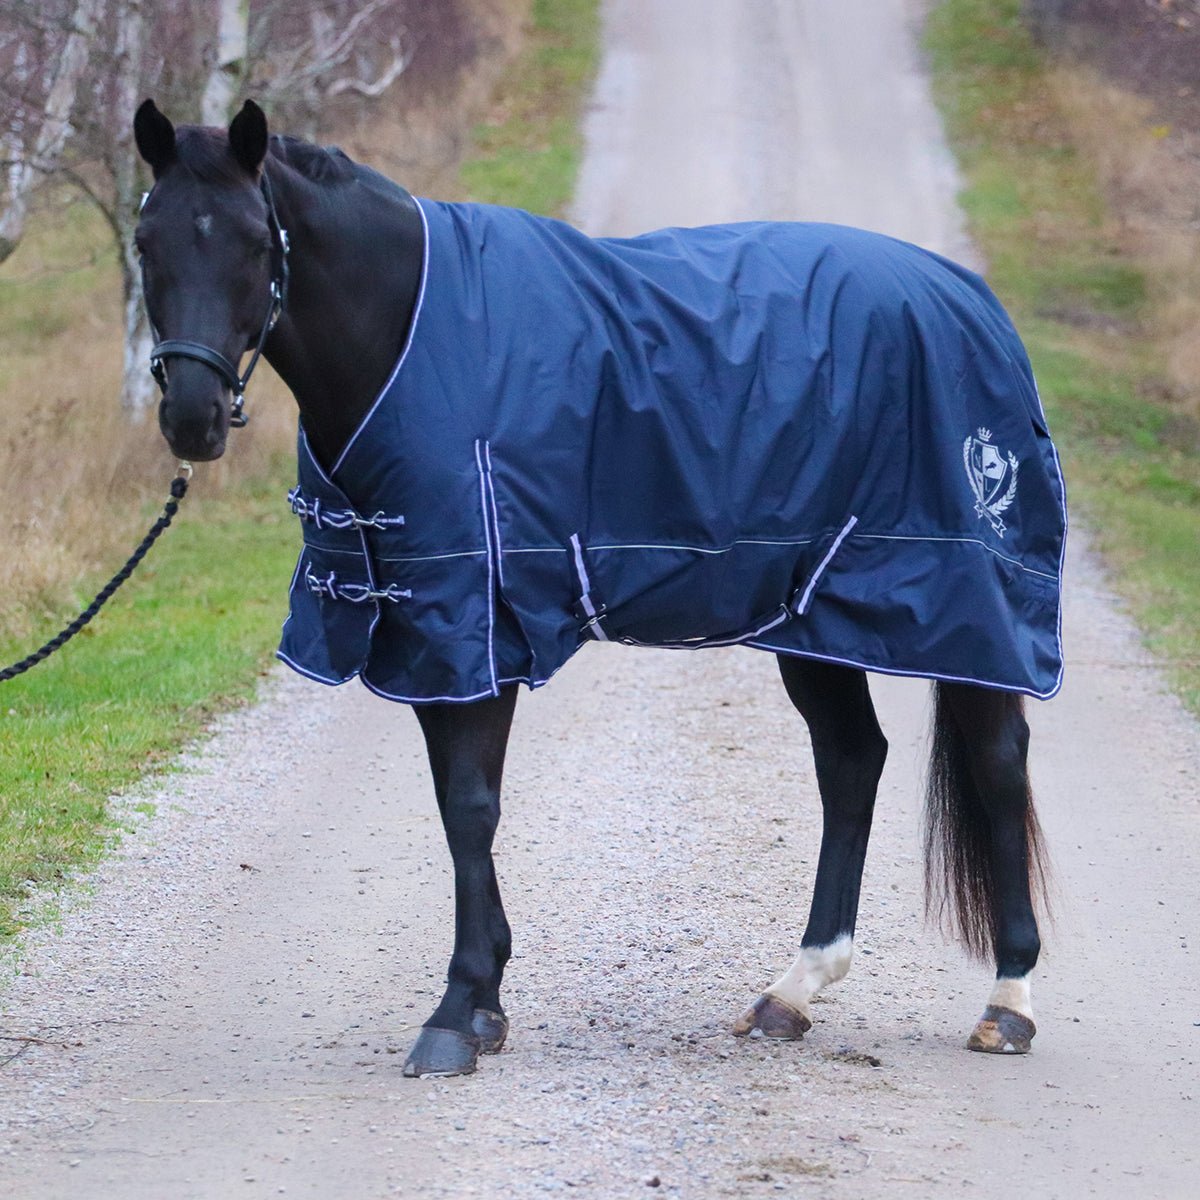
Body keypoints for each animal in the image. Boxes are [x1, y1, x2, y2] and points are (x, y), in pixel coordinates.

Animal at [132, 99, 1063, 1079]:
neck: (412, 335)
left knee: (997, 765)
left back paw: (1008, 1002)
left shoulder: (475, 626)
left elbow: (471, 809)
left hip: (966, 609)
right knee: (851, 763)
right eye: (147, 241)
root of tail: (971, 303)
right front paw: (487, 1002)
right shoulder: (428, 635)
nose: (191, 418)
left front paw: (455, 1012)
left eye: (250, 242)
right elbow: (458, 806)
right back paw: (791, 991)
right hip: (813, 620)